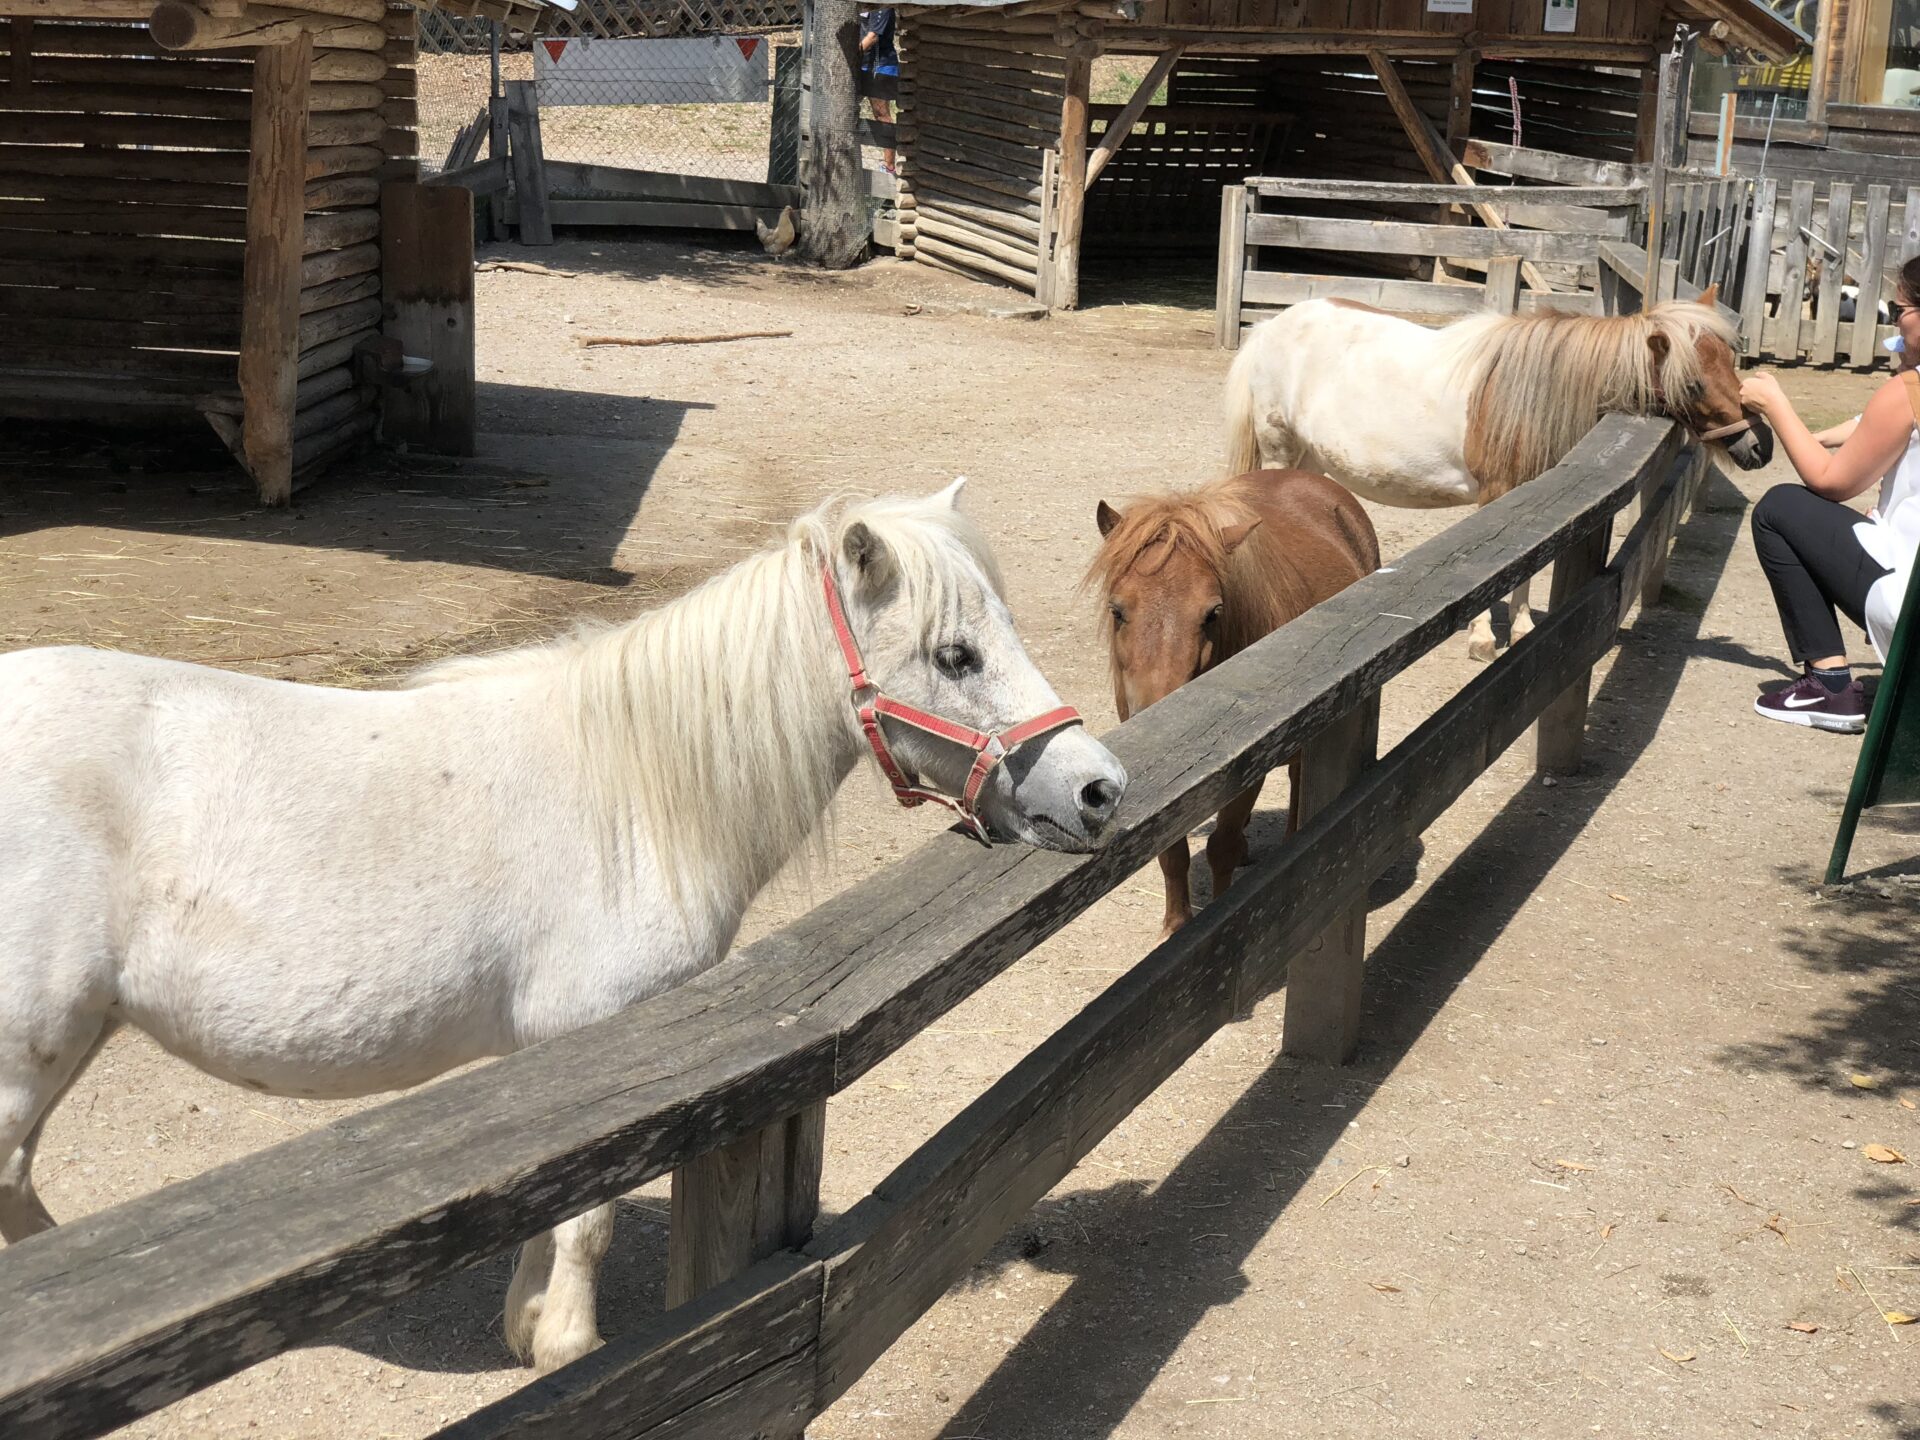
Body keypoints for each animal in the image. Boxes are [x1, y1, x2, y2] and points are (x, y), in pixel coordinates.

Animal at [0, 478, 1127, 1376]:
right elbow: (587, 1223)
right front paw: (567, 1348)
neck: (633, 788)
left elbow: (550, 1207)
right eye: (956, 654)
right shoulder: (604, 1040)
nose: (1100, 789)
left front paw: (525, 1322)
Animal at [1089, 469, 1379, 938]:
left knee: (1299, 777)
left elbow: (1220, 848)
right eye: (1117, 610)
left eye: (1213, 613)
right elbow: (1172, 853)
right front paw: (1176, 926)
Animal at [1222, 288, 1773, 660]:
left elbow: (1526, 570)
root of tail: (1271, 326)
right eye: (1693, 382)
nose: (1758, 446)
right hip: (1280, 450)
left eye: (1730, 361)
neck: (1527, 392)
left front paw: (1525, 630)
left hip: (1311, 459)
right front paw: (1485, 638)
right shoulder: (1497, 495)